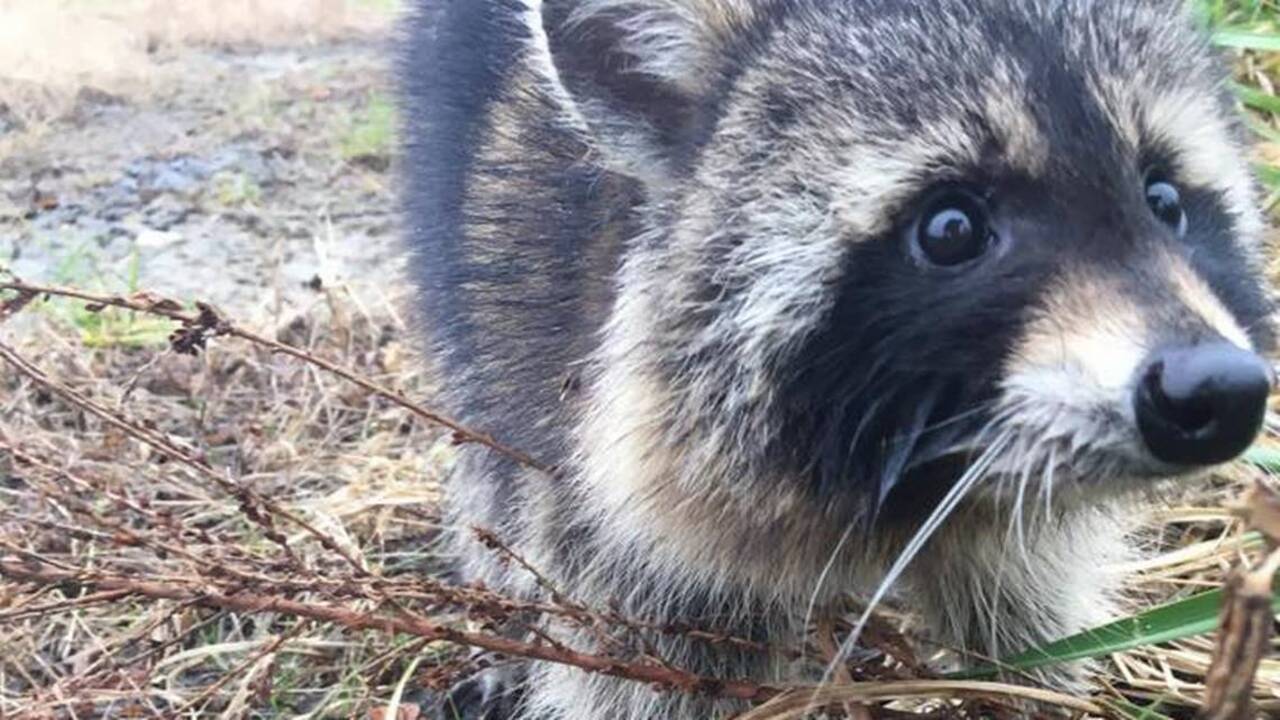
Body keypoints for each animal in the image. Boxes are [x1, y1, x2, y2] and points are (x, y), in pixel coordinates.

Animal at [399, 1, 1276, 718]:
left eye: (1165, 201)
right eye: (950, 228)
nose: (1218, 389)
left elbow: (1027, 614)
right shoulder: (599, 474)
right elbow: (643, 656)